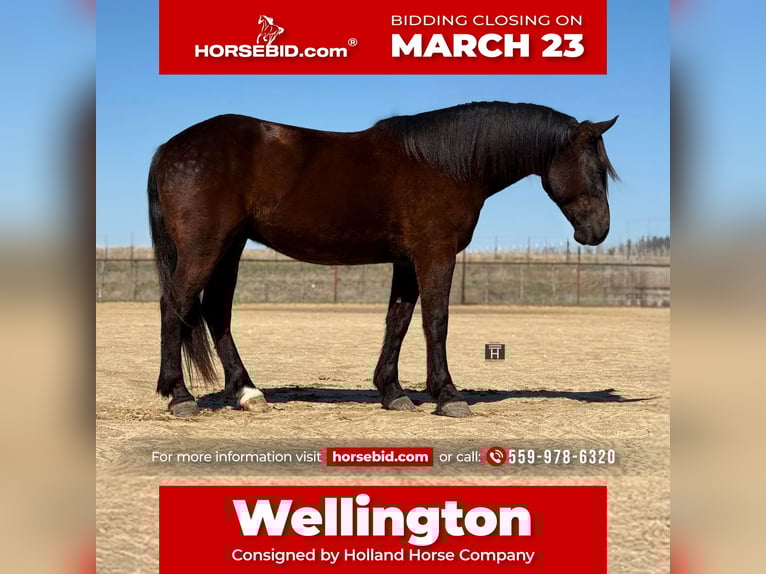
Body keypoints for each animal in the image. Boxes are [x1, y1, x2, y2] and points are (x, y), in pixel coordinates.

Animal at [147, 101, 618, 418]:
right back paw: (180, 397)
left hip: (231, 246)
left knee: (215, 311)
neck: (448, 163)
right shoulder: (434, 254)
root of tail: (169, 147)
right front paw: (448, 396)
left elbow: (399, 321)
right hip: (206, 246)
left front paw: (393, 393)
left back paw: (247, 392)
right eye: (596, 168)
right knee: (176, 305)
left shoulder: (407, 262)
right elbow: (436, 321)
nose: (598, 232)